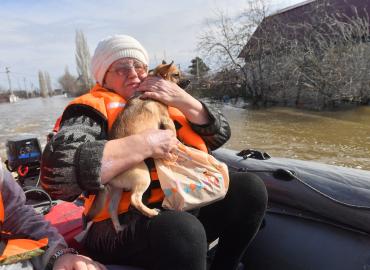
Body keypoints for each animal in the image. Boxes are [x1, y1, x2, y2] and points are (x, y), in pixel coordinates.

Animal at [84, 60, 182, 232]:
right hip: (142, 176)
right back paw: (151, 212)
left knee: (112, 208)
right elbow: (173, 133)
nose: (188, 81)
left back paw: (118, 227)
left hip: (117, 191)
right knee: (135, 200)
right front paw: (175, 148)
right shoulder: (167, 120)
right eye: (176, 75)